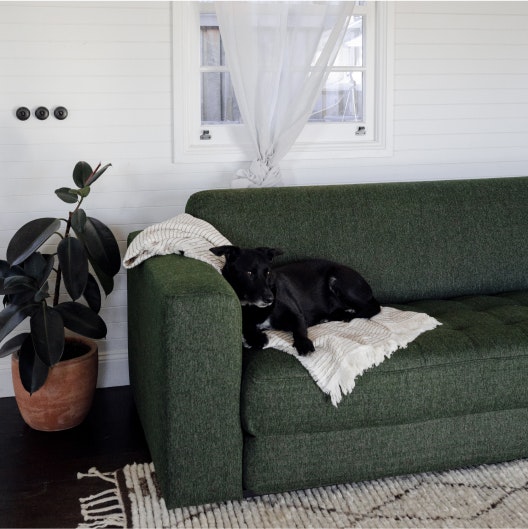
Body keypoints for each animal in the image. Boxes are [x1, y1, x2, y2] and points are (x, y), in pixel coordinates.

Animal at [210, 245, 381, 355]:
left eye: (268, 272)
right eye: (249, 273)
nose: (270, 299)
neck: (253, 307)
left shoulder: (296, 314)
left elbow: (299, 330)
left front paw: (304, 344)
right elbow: (246, 326)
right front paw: (256, 338)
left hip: (339, 279)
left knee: (373, 308)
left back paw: (349, 316)